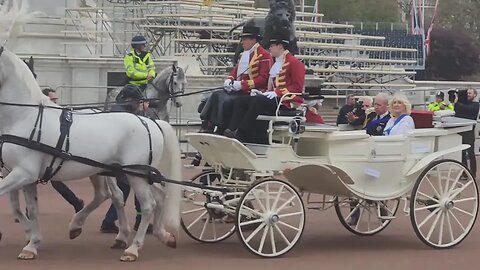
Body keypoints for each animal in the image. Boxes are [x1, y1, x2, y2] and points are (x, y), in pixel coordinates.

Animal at [0, 0, 182, 262]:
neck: (25, 116)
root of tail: (149, 122)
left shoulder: (24, 173)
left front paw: (31, 240)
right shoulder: (22, 175)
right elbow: (27, 209)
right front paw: (32, 242)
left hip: (135, 174)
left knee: (148, 204)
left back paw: (132, 248)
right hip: (118, 172)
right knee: (152, 195)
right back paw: (159, 234)